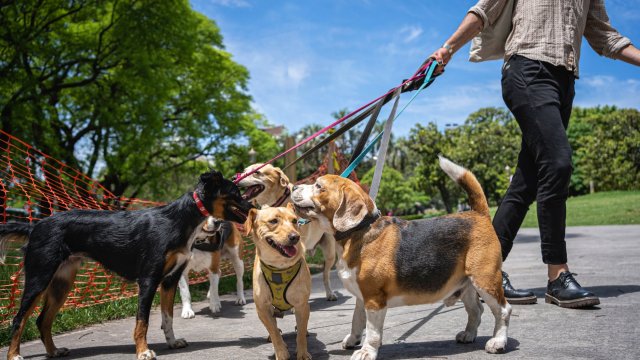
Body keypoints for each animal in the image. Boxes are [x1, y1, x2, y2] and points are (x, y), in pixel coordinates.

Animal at [0, 170, 254, 358]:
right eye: (236, 192)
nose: (253, 208)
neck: (179, 219)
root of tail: (35, 226)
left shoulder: (170, 280)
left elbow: (168, 318)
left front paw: (172, 342)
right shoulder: (149, 280)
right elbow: (143, 321)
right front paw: (143, 352)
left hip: (62, 283)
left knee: (42, 320)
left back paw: (53, 351)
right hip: (39, 278)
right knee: (19, 319)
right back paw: (14, 355)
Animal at [234, 165, 336, 302]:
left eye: (256, 172)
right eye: (245, 171)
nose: (234, 177)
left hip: (330, 253)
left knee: (326, 275)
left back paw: (330, 293)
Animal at [244, 205, 312, 360]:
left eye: (294, 220)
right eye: (273, 221)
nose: (295, 237)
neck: (279, 266)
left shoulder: (301, 305)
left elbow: (300, 333)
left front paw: (302, 353)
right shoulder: (262, 308)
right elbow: (274, 331)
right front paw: (281, 353)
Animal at [290, 156, 510, 358]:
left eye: (319, 186)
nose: (293, 187)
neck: (358, 230)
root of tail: (479, 214)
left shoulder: (374, 300)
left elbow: (372, 332)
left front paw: (367, 351)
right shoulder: (362, 298)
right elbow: (356, 321)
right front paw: (352, 340)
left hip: (485, 280)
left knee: (503, 310)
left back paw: (497, 342)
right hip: (466, 285)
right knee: (476, 310)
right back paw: (468, 335)